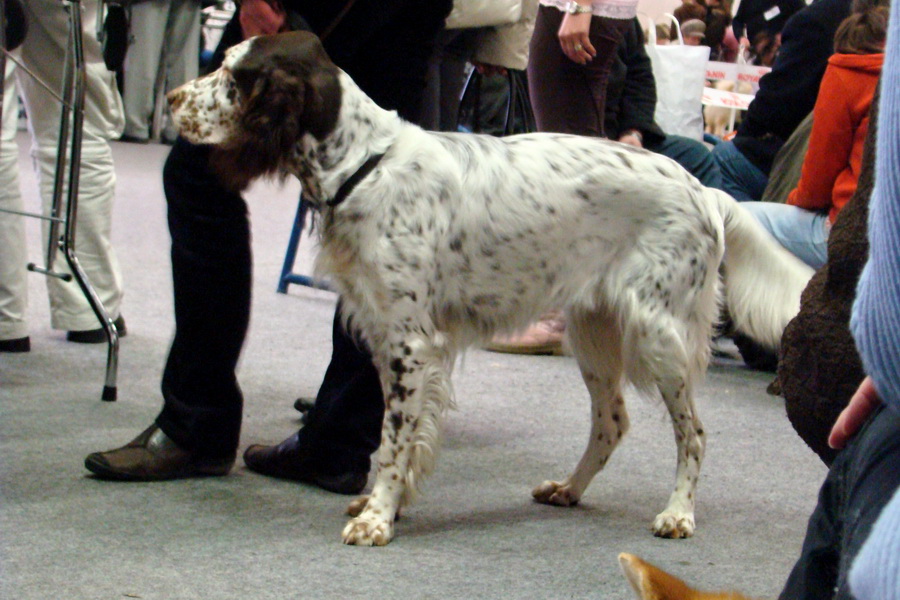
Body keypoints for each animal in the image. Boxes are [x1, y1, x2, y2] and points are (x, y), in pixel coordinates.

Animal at [167, 32, 816, 548]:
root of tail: (703, 190)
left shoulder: (410, 345)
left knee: (693, 433)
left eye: (233, 78)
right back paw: (568, 488)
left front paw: (377, 518)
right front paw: (387, 504)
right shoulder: (385, 336)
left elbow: (393, 440)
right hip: (592, 332)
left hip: (658, 334)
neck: (363, 165)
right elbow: (402, 439)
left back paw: (678, 513)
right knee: (611, 422)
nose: (172, 100)